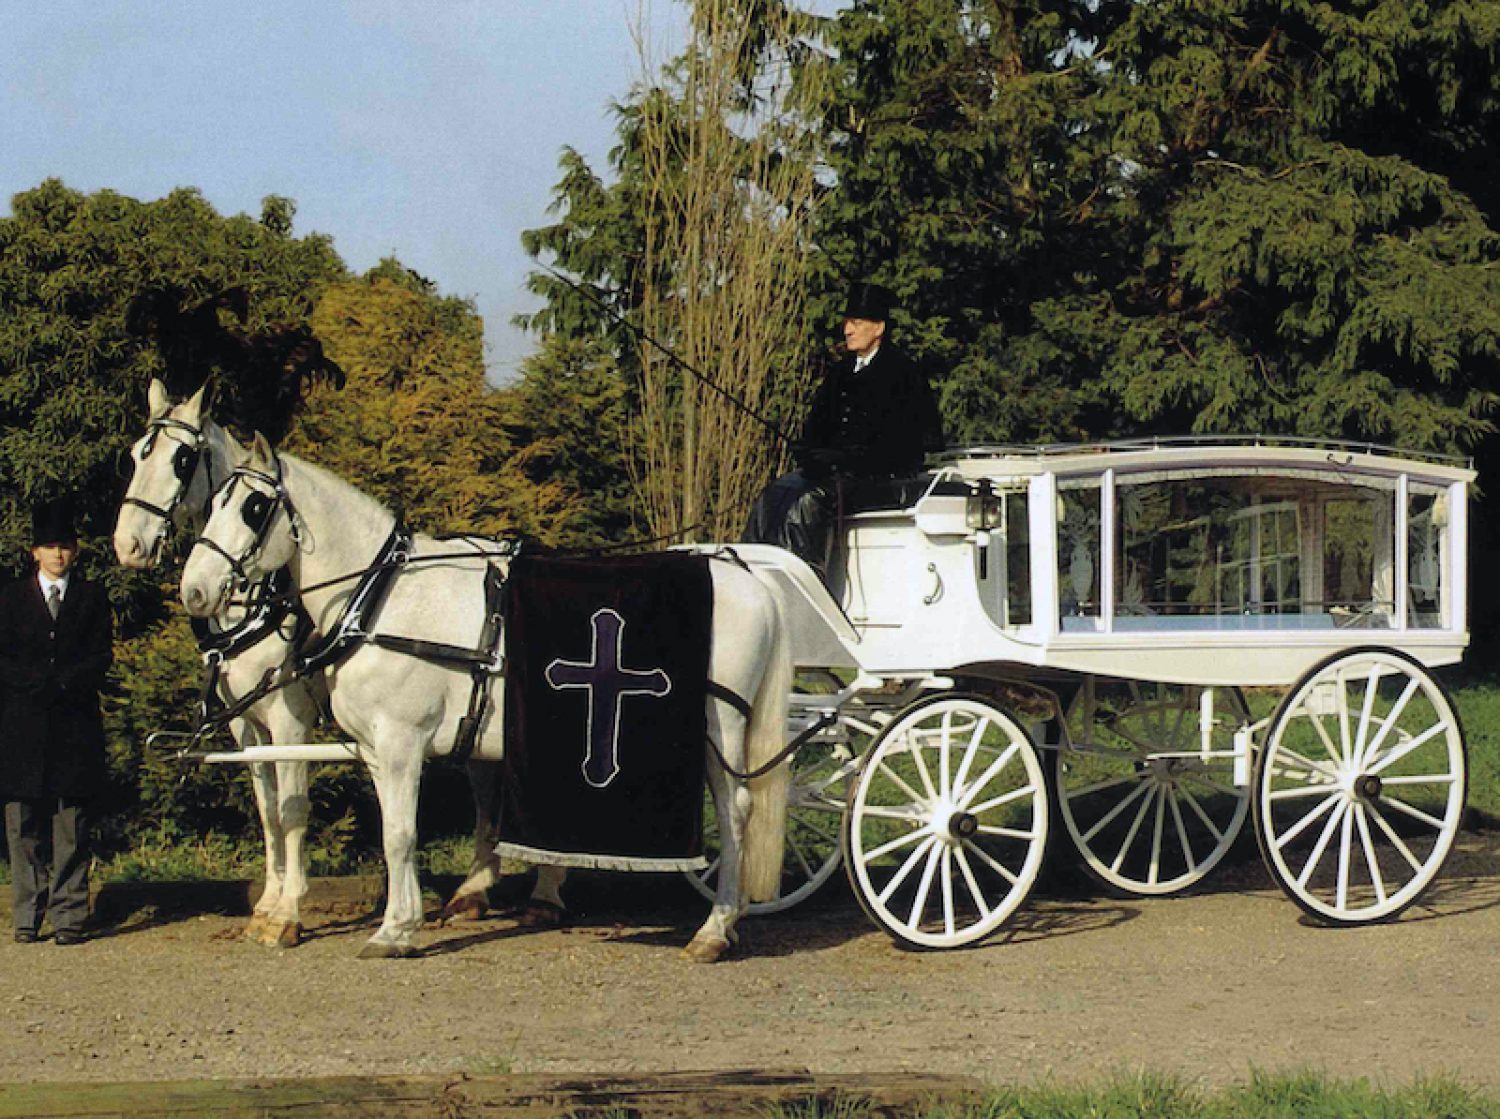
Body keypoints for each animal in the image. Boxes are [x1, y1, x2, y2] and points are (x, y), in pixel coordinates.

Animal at [178, 433, 793, 960]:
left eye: (253, 506)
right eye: (213, 502)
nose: (195, 591)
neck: (380, 597)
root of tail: (750, 578)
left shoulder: (401, 742)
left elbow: (399, 835)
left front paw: (395, 930)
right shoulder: (374, 749)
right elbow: (388, 832)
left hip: (720, 730)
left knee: (736, 810)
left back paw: (714, 928)